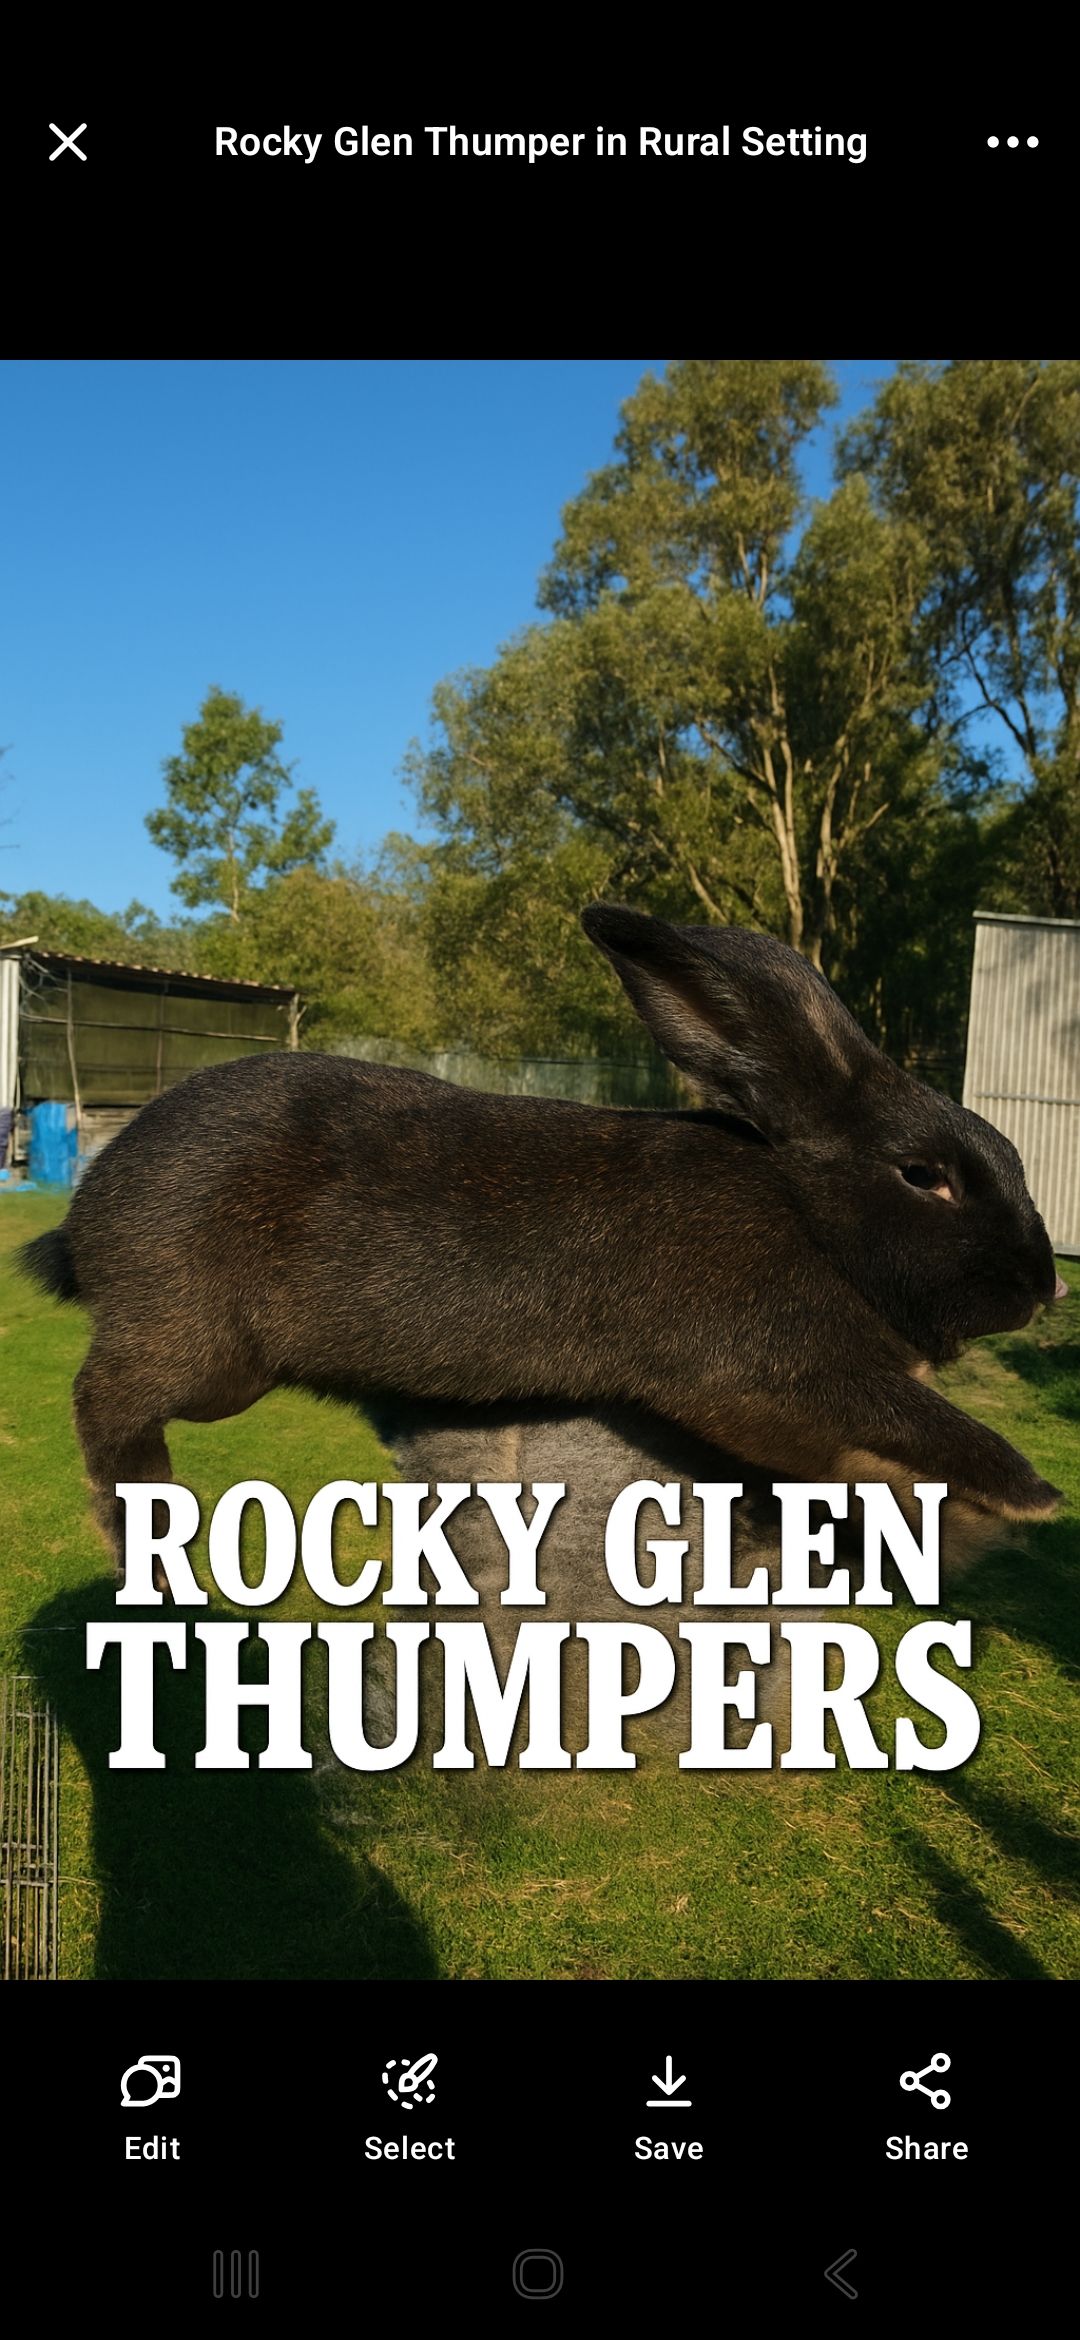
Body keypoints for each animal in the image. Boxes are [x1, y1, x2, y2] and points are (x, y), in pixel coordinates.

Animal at [22, 902, 1064, 1585]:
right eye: (924, 1176)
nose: (1042, 1285)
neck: (809, 1213)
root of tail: (89, 1208)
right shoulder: (777, 1370)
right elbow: (921, 1423)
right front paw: (1034, 1496)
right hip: (186, 1339)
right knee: (103, 1403)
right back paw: (146, 1539)